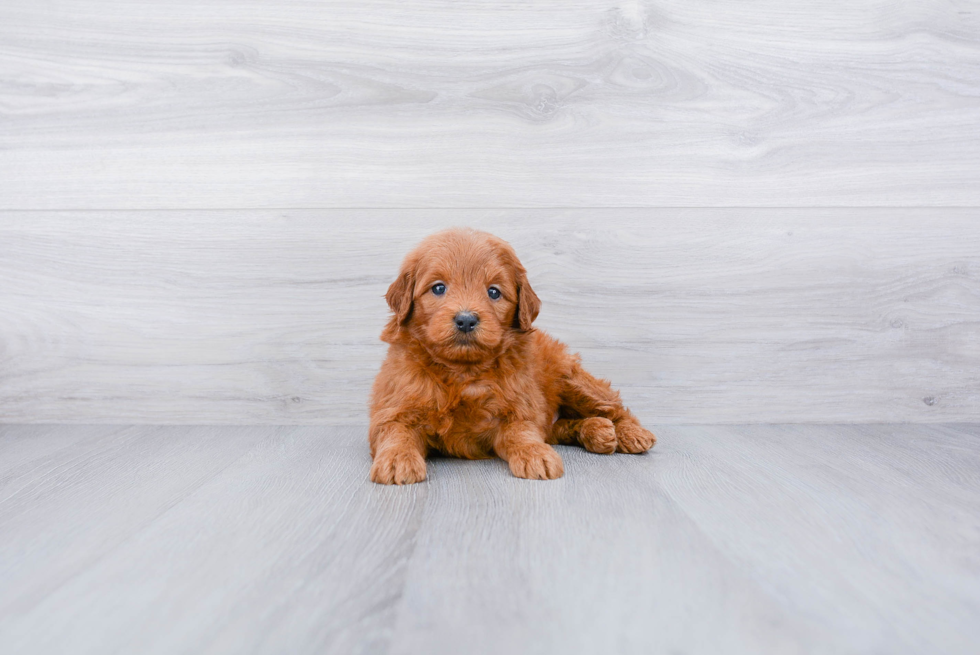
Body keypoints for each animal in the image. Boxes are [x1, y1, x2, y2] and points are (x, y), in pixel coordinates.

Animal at [372, 228, 656, 484]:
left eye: (494, 292)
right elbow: (396, 432)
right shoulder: (393, 409)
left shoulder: (520, 408)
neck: (464, 372)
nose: (466, 320)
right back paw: (597, 431)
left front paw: (534, 454)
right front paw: (397, 459)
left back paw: (630, 434)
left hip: (574, 380)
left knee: (614, 407)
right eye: (439, 288)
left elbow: (522, 432)